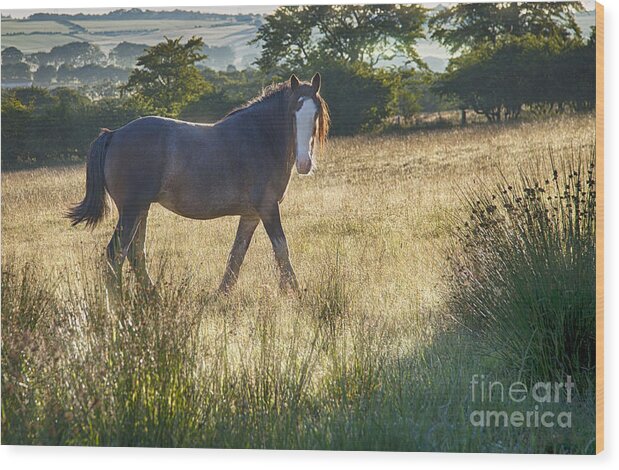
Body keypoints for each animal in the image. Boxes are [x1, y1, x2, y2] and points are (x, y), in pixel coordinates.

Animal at [67, 73, 330, 294]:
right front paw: (295, 292)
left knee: (135, 253)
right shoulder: (267, 208)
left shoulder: (251, 215)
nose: (304, 163)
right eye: (293, 112)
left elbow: (237, 253)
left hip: (141, 209)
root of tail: (113, 135)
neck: (260, 137)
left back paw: (153, 296)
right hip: (132, 210)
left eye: (315, 113)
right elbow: (281, 248)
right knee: (115, 255)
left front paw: (222, 293)